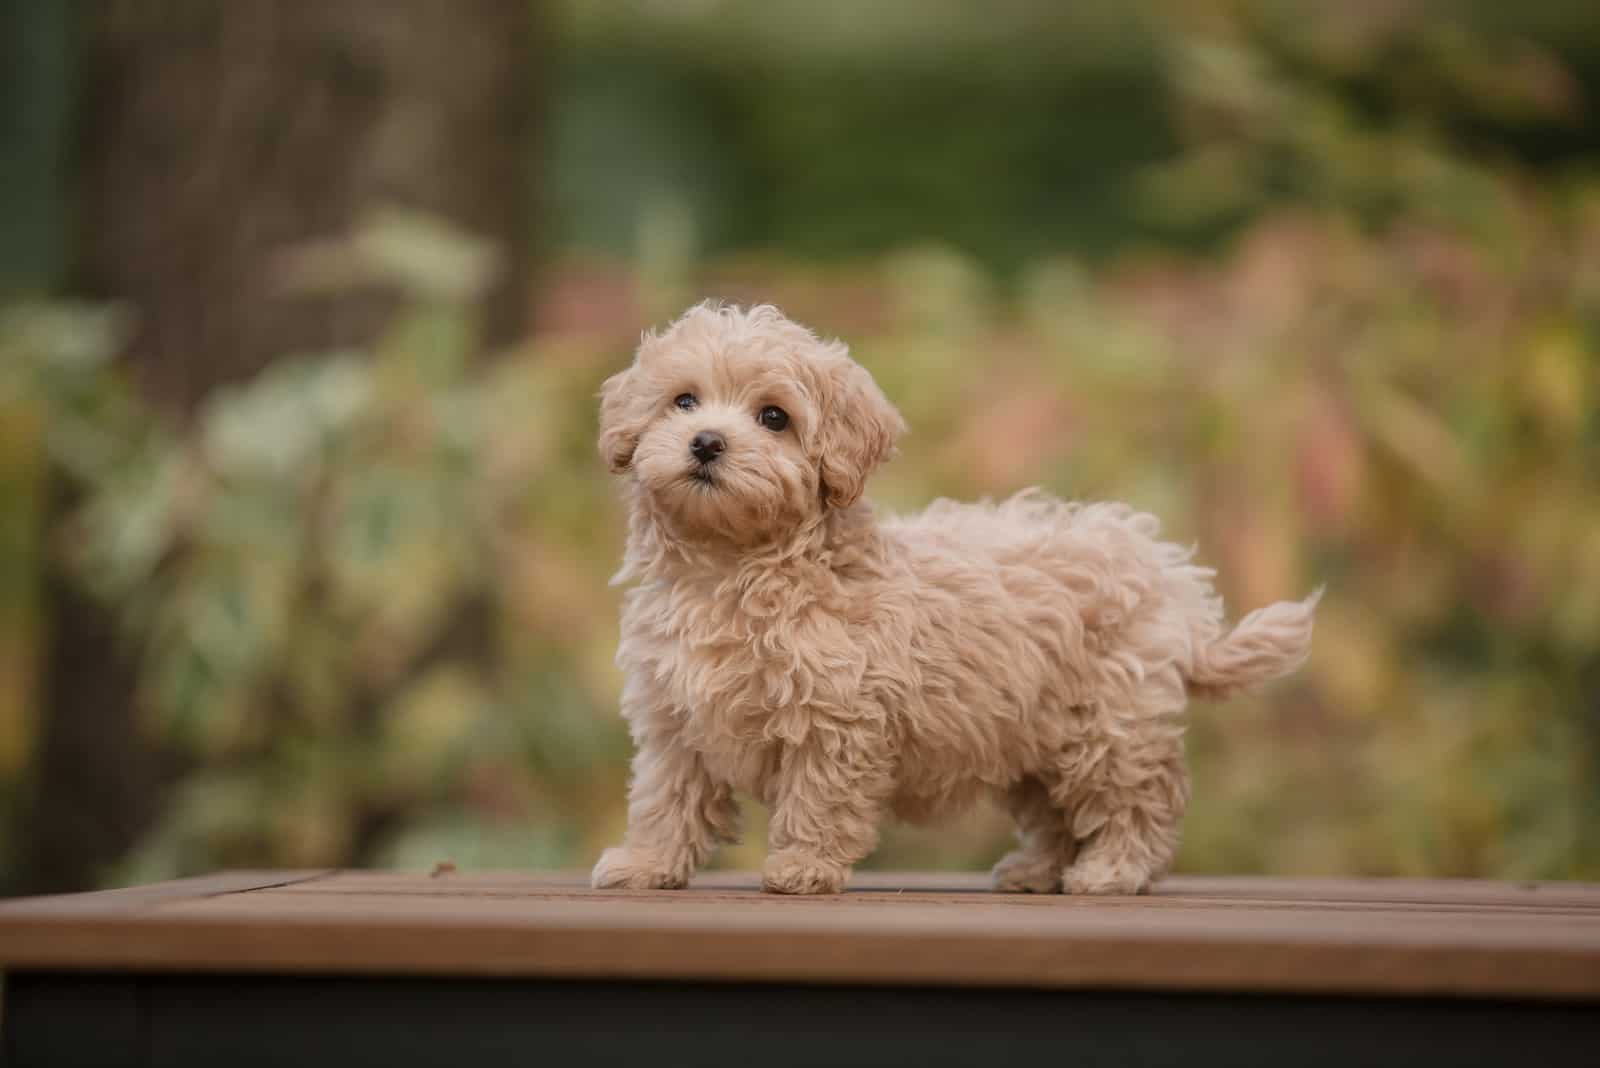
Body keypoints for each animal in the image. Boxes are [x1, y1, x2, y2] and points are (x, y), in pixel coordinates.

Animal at [588, 300, 1312, 895]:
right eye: (684, 401)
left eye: (774, 417)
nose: (707, 442)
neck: (730, 568)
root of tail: (1166, 572)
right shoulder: (674, 718)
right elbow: (665, 799)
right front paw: (646, 864)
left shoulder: (836, 718)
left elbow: (819, 798)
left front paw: (804, 867)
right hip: (1033, 737)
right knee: (1056, 813)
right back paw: (1037, 871)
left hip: (1110, 723)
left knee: (1138, 801)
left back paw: (1112, 871)